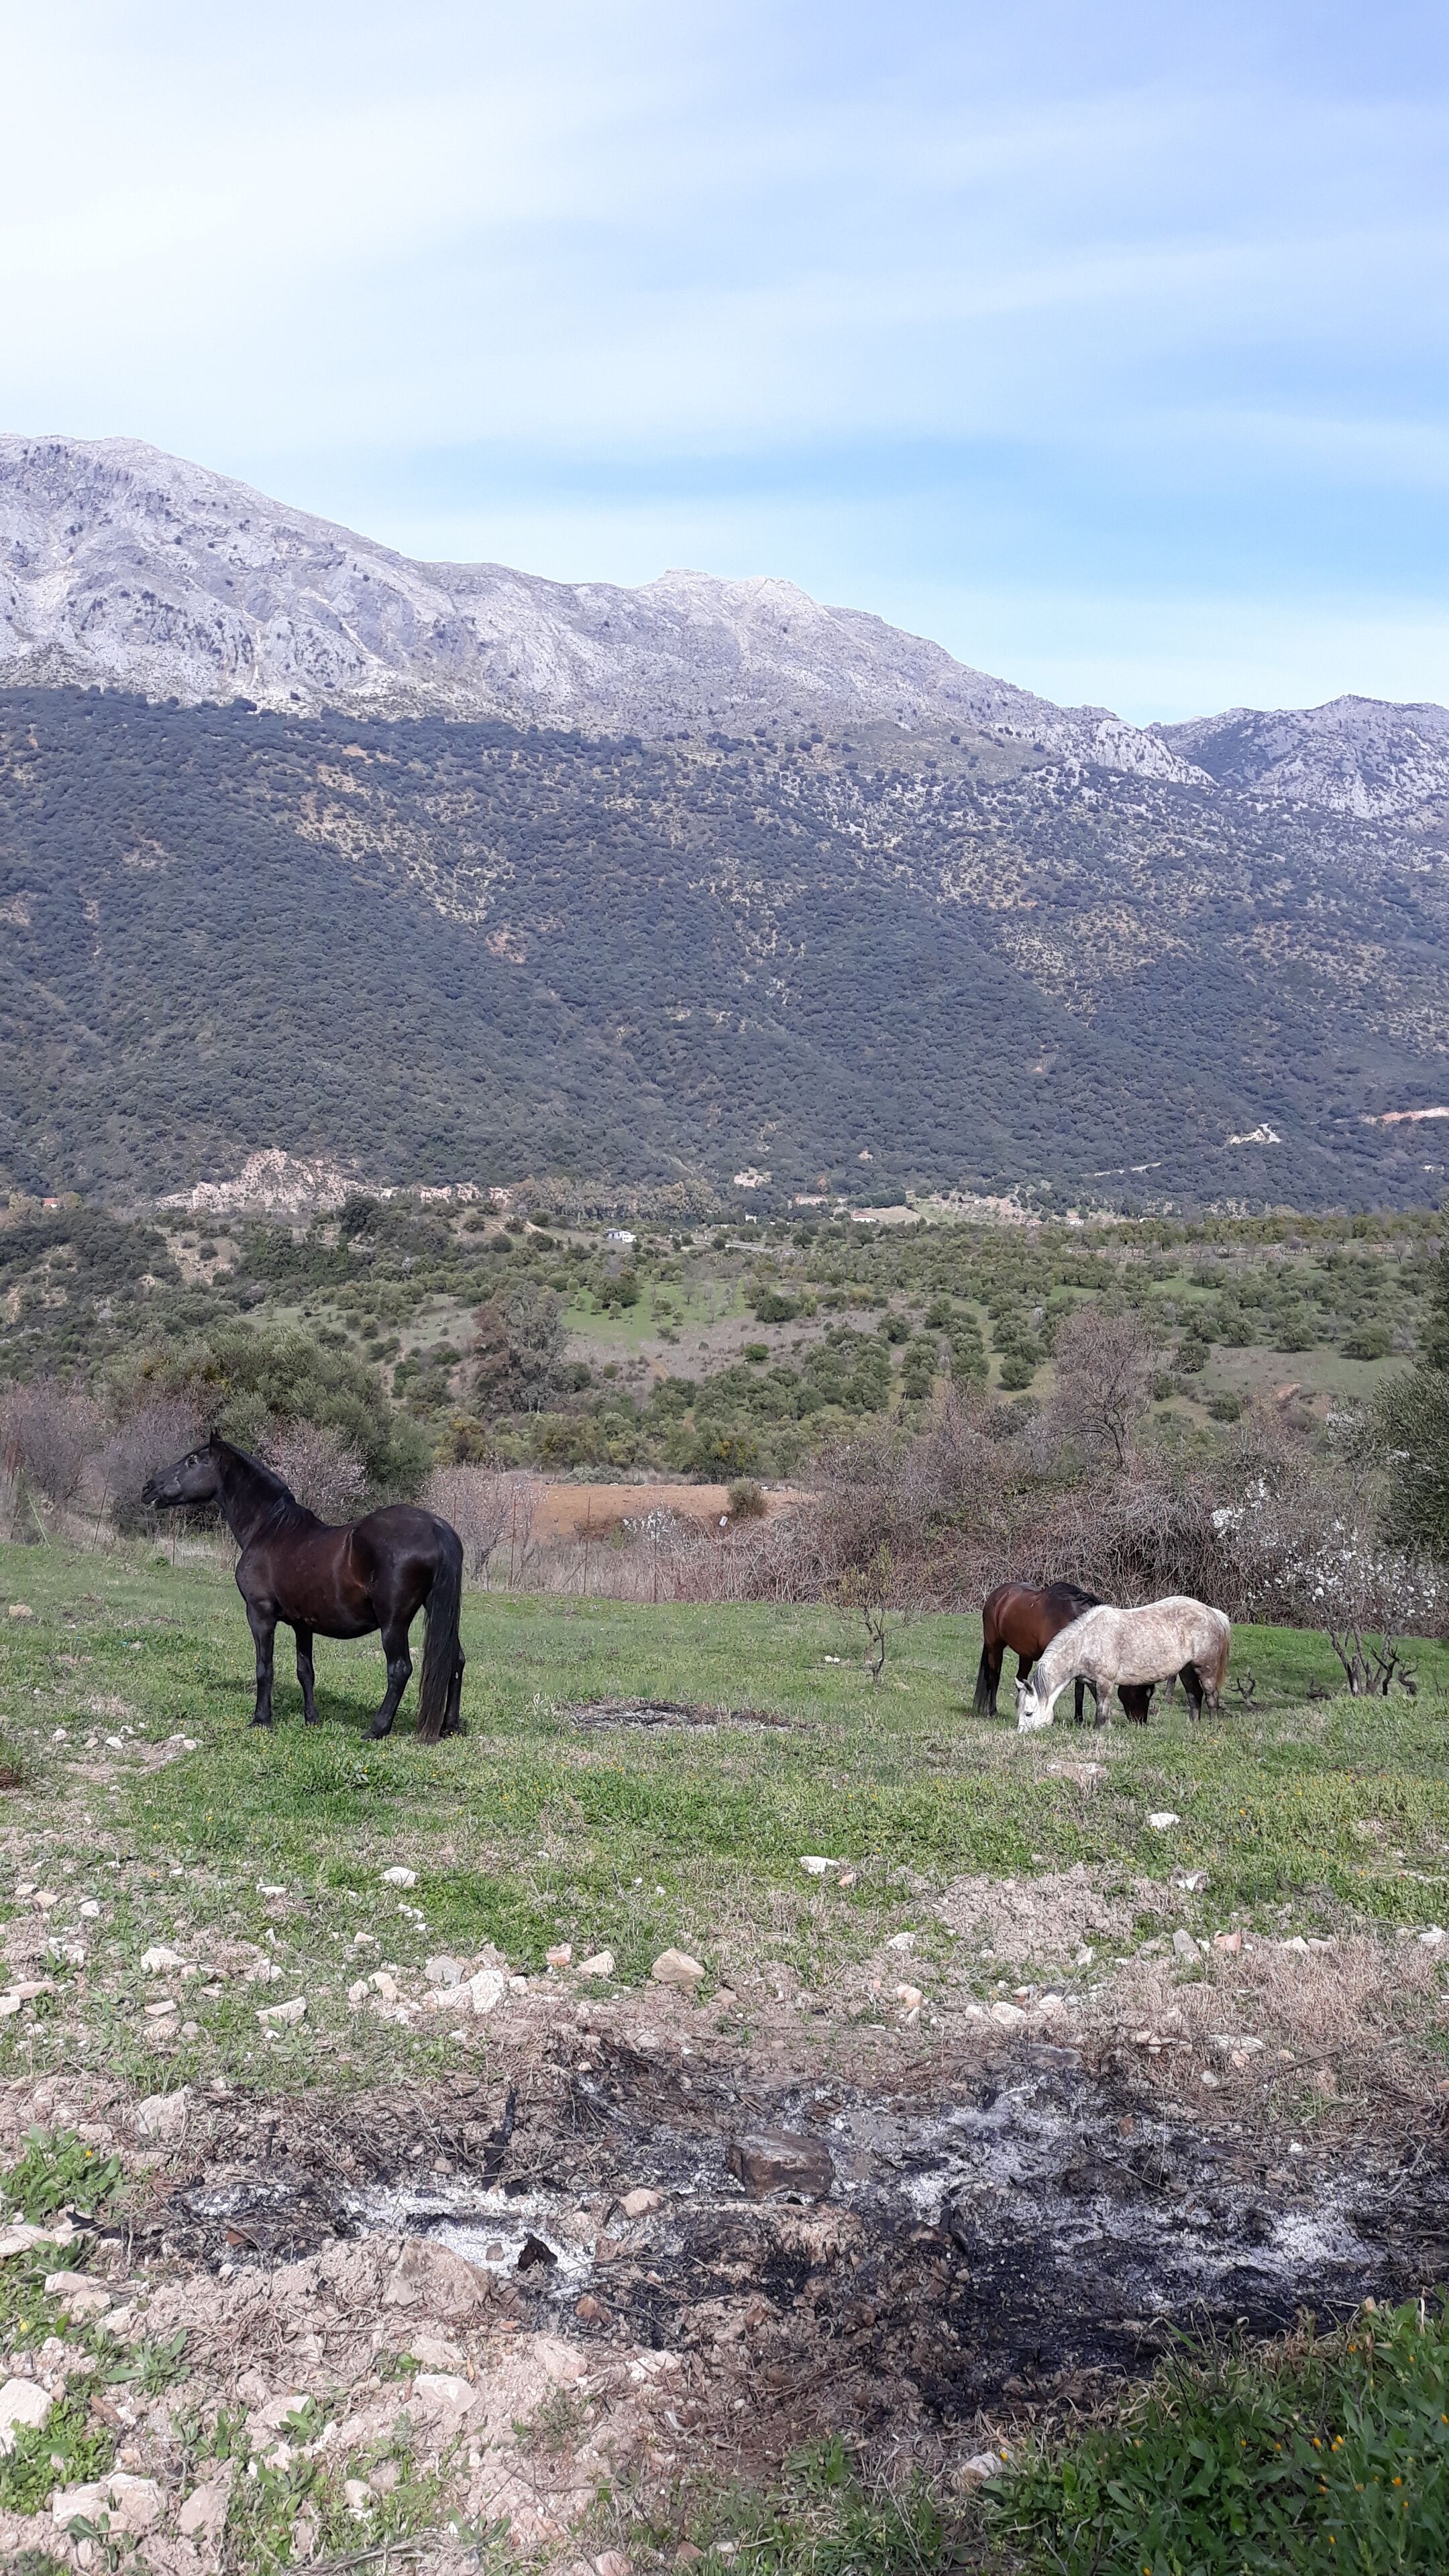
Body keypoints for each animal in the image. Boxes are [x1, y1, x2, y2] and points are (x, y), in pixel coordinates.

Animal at [141, 1436, 466, 1742]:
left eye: (192, 1461)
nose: (148, 1488)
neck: (270, 1529)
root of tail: (435, 1527)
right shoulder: (303, 1624)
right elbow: (305, 1671)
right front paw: (311, 1719)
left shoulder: (259, 1615)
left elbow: (265, 1668)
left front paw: (262, 1720)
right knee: (456, 1660)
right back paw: (450, 1727)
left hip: (394, 1624)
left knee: (399, 1669)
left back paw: (377, 1729)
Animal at [975, 1581, 1157, 1726]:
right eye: (1140, 1692)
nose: (1141, 1722)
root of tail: (997, 1595)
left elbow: (1081, 1692)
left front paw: (1080, 1720)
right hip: (995, 1647)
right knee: (994, 1677)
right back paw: (993, 1711)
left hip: (1025, 1655)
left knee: (1020, 1679)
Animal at [1016, 1596, 1231, 1733]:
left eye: (1028, 1713)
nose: (1021, 1734)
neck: (1086, 1642)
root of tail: (1214, 1614)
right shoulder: (1093, 1682)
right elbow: (1101, 1706)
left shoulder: (1105, 1681)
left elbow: (1102, 1709)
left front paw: (1102, 1730)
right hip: (1186, 1669)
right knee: (1194, 1695)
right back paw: (1193, 1725)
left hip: (1206, 1669)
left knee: (1211, 1696)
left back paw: (1213, 1725)